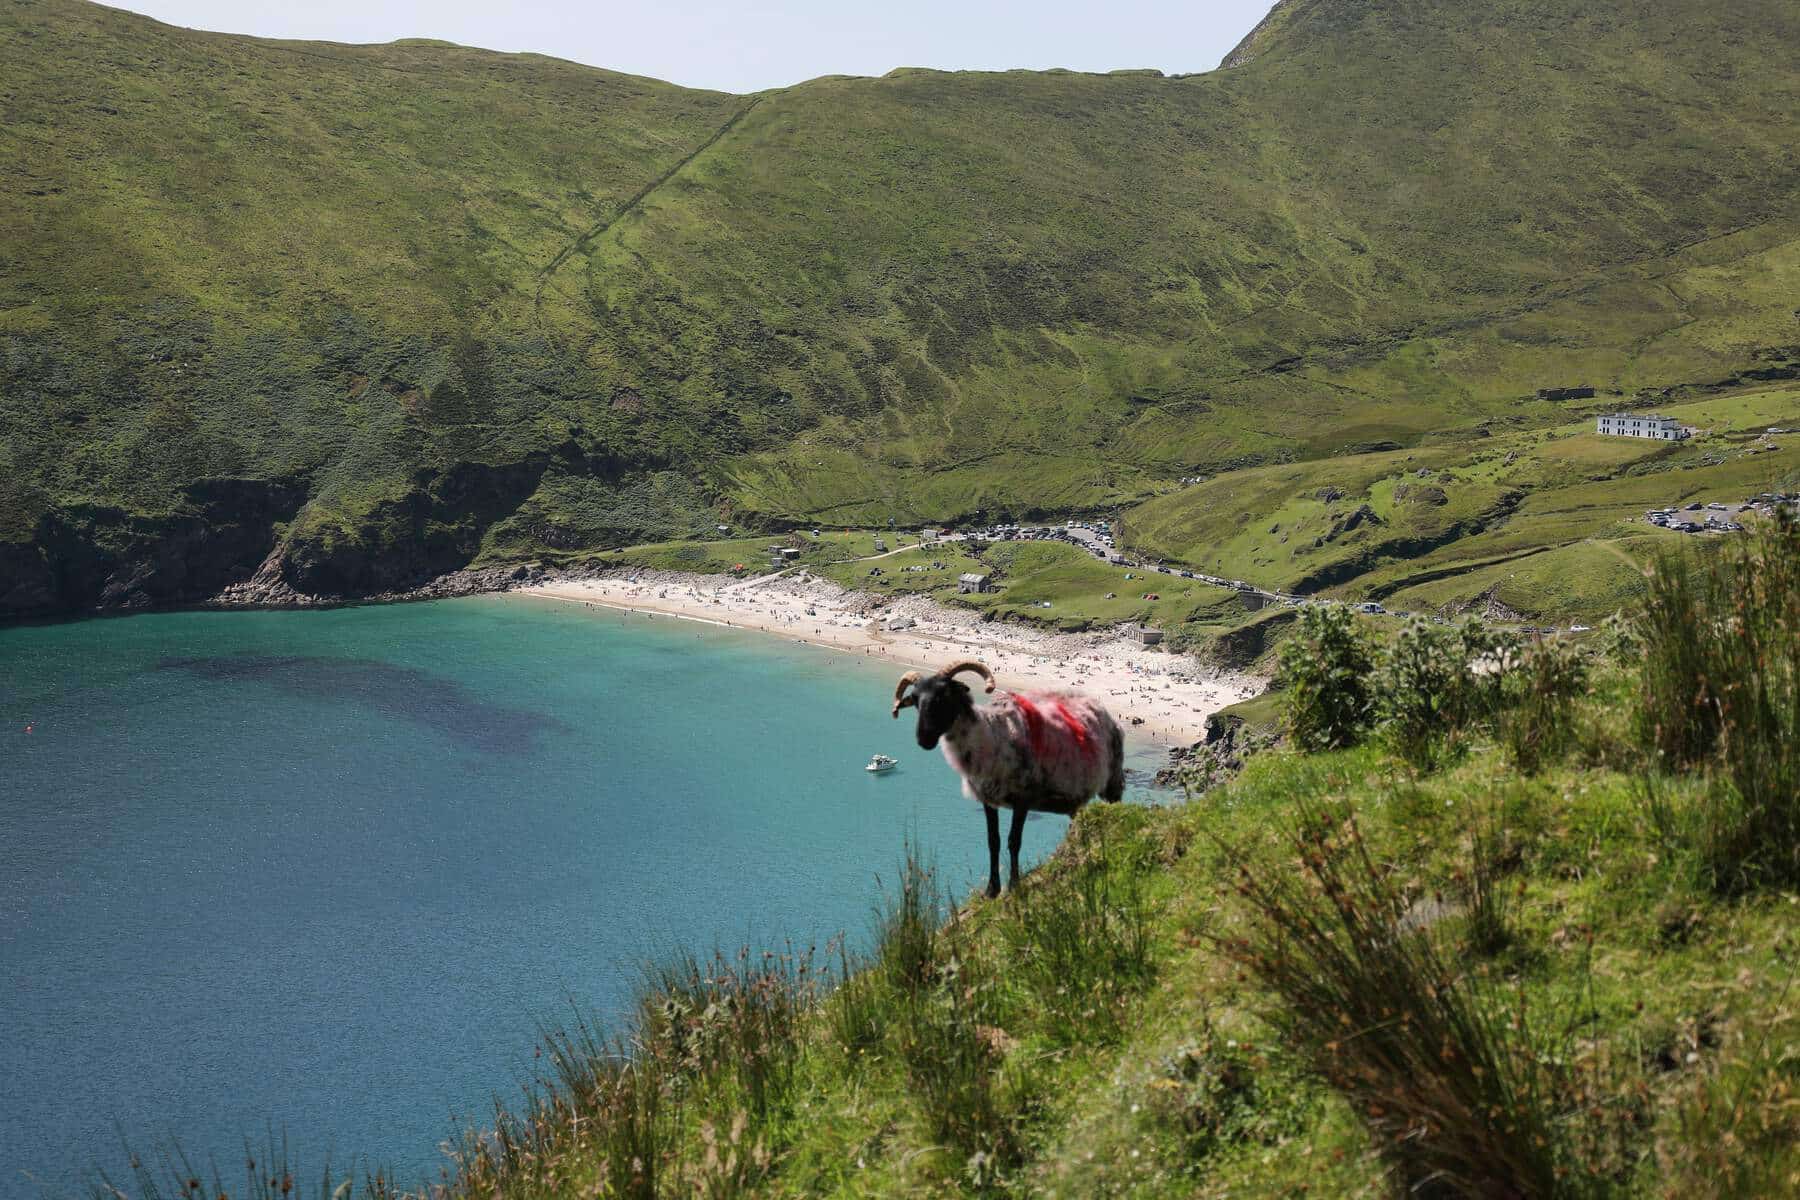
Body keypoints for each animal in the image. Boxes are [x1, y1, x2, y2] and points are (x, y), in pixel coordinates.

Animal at [889, 662, 1116, 895]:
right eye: (915, 699)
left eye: (944, 694)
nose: (923, 739)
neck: (991, 735)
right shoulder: (988, 799)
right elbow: (993, 841)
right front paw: (992, 889)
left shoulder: (1023, 798)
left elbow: (1014, 841)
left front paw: (1014, 884)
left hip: (1112, 781)